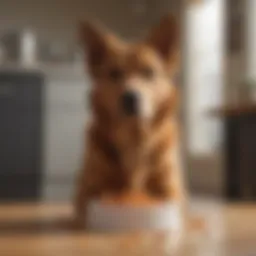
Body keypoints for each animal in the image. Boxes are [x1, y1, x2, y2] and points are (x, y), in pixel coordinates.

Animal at [74, 15, 186, 229]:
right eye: (114, 73)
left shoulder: (170, 189)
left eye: (149, 72)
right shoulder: (89, 190)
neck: (134, 137)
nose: (130, 98)